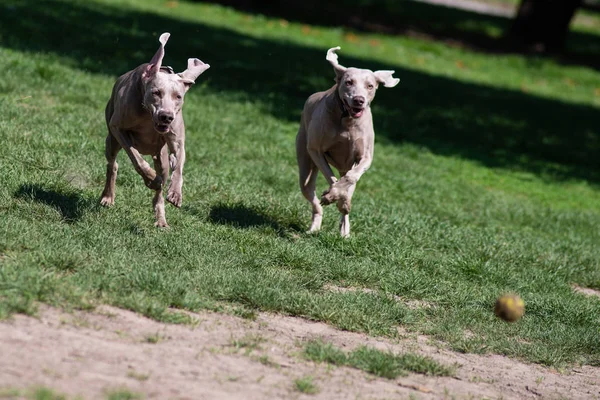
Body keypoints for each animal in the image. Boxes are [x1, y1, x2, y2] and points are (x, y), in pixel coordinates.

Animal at [99, 32, 210, 227]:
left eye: (178, 96)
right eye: (156, 92)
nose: (166, 116)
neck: (147, 116)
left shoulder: (176, 140)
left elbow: (178, 164)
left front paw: (175, 193)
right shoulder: (117, 127)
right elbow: (136, 158)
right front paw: (149, 176)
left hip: (161, 156)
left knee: (160, 186)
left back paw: (161, 219)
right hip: (111, 140)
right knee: (113, 165)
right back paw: (108, 196)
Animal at [296, 46, 398, 238]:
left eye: (370, 86)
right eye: (349, 82)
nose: (359, 100)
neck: (347, 120)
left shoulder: (365, 158)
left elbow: (350, 177)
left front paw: (340, 200)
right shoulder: (316, 150)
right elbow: (331, 178)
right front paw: (331, 196)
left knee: (348, 182)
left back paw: (344, 229)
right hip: (305, 162)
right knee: (312, 196)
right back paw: (315, 226)